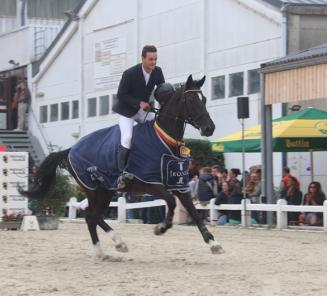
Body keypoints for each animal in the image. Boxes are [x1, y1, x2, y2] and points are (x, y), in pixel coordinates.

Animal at [20, 75, 226, 258]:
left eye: (204, 99)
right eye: (190, 100)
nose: (209, 128)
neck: (165, 140)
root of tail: (70, 149)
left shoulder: (180, 185)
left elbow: (194, 212)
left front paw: (214, 243)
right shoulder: (150, 183)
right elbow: (171, 202)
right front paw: (161, 228)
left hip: (106, 190)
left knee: (91, 215)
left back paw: (105, 249)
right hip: (93, 189)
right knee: (91, 215)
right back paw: (115, 244)